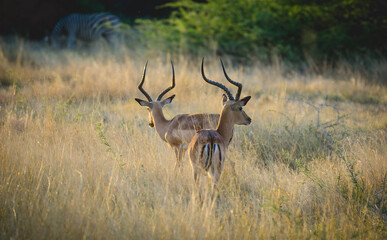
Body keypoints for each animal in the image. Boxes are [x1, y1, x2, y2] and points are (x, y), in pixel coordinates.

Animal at [189, 57, 253, 191]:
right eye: (240, 108)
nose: (249, 119)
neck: (220, 133)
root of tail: (211, 139)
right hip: (211, 171)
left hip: (203, 171)